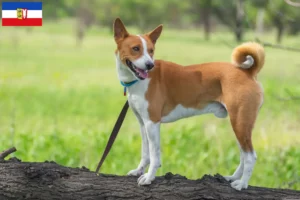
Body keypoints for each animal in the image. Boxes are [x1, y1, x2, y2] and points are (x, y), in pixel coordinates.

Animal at [112, 17, 264, 191]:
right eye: (136, 48)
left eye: (151, 50)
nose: (150, 65)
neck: (137, 82)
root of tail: (248, 72)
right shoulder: (143, 123)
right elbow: (145, 153)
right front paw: (138, 171)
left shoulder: (152, 123)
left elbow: (154, 155)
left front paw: (149, 177)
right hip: (239, 125)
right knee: (243, 154)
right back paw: (233, 177)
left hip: (240, 122)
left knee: (250, 156)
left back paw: (242, 184)